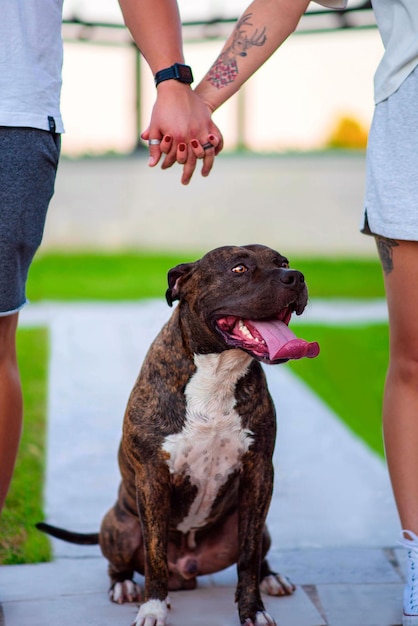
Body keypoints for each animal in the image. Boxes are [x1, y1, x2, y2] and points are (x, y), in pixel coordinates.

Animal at [38, 244, 320, 624]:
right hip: (119, 527)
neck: (216, 373)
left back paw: (272, 577)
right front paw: (153, 607)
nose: (296, 276)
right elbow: (154, 555)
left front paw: (253, 609)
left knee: (258, 551)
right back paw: (124, 586)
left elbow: (248, 557)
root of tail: (188, 570)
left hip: (258, 527)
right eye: (239, 268)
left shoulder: (259, 472)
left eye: (284, 262)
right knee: (119, 562)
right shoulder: (152, 478)